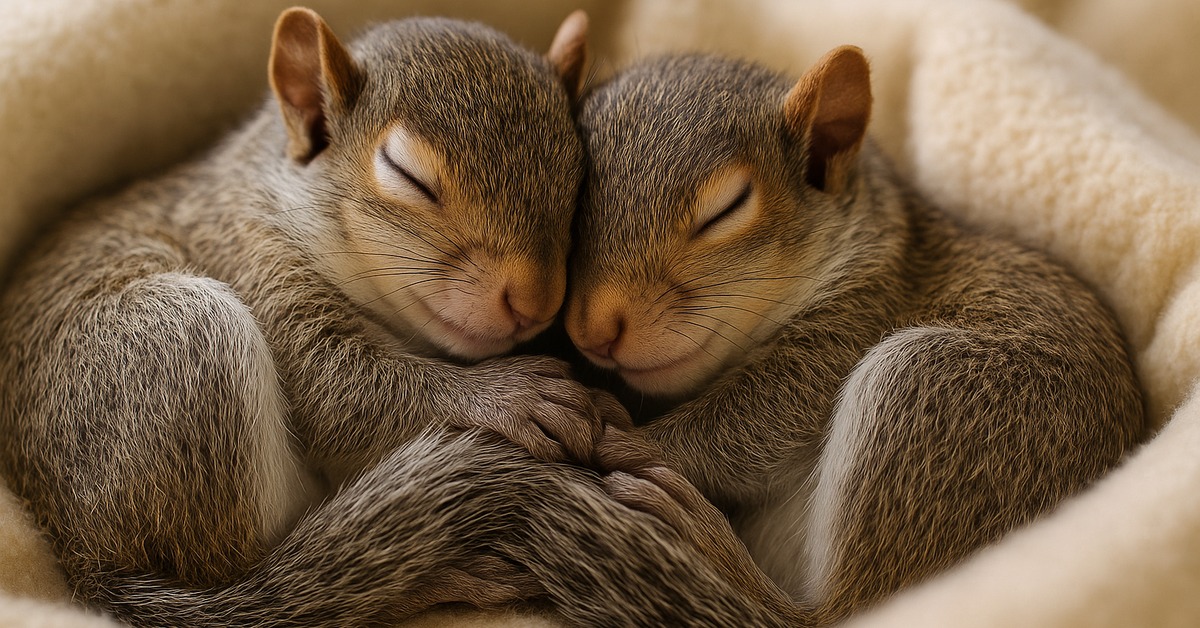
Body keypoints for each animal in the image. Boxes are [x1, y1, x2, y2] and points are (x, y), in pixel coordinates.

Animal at [0, 7, 686, 625]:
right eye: (408, 176)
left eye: (576, 178)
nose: (535, 303)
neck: (278, 198)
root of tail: (86, 557)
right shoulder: (255, 263)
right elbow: (339, 389)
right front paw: (508, 396)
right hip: (181, 343)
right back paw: (417, 575)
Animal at [564, 47, 1148, 623]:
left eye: (727, 208)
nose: (593, 329)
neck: (866, 240)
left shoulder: (857, 319)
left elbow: (754, 422)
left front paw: (618, 434)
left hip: (929, 389)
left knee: (833, 612)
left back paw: (697, 531)